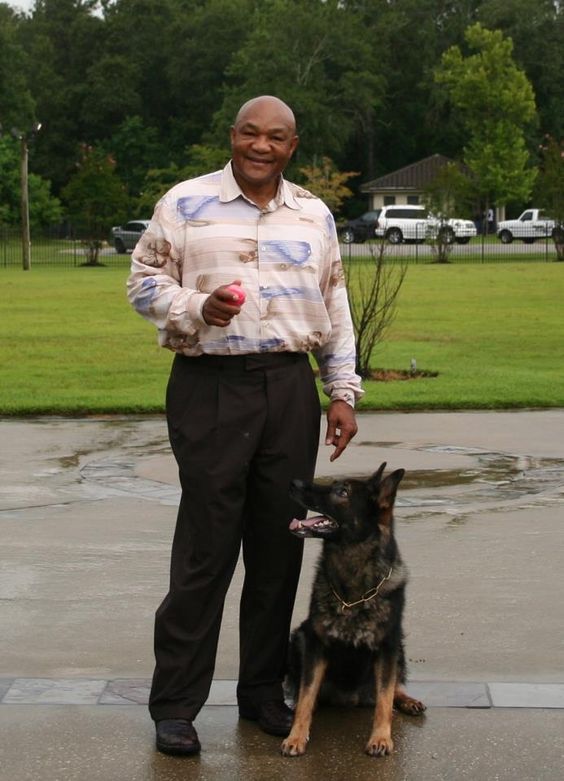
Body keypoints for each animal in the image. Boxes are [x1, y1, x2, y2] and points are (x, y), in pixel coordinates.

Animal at [282, 464, 424, 756]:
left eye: (342, 492)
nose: (294, 483)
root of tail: (352, 698)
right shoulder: (315, 643)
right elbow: (306, 695)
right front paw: (296, 736)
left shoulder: (387, 646)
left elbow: (385, 699)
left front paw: (381, 738)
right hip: (299, 638)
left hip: (399, 646)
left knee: (392, 687)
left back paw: (407, 700)